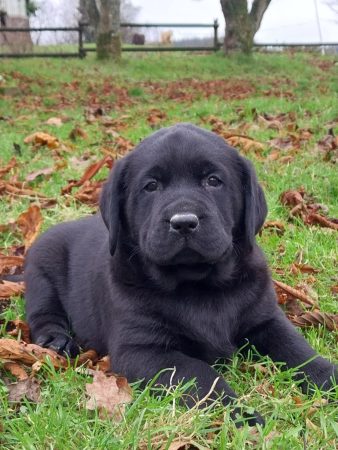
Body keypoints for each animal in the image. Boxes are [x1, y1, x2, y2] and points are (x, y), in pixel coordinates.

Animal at [25, 123, 336, 426]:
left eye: (213, 181)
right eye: (151, 186)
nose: (184, 222)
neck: (198, 285)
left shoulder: (266, 320)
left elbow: (298, 351)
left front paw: (329, 377)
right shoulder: (143, 349)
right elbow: (202, 375)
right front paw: (239, 416)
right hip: (41, 274)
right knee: (43, 314)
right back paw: (55, 340)